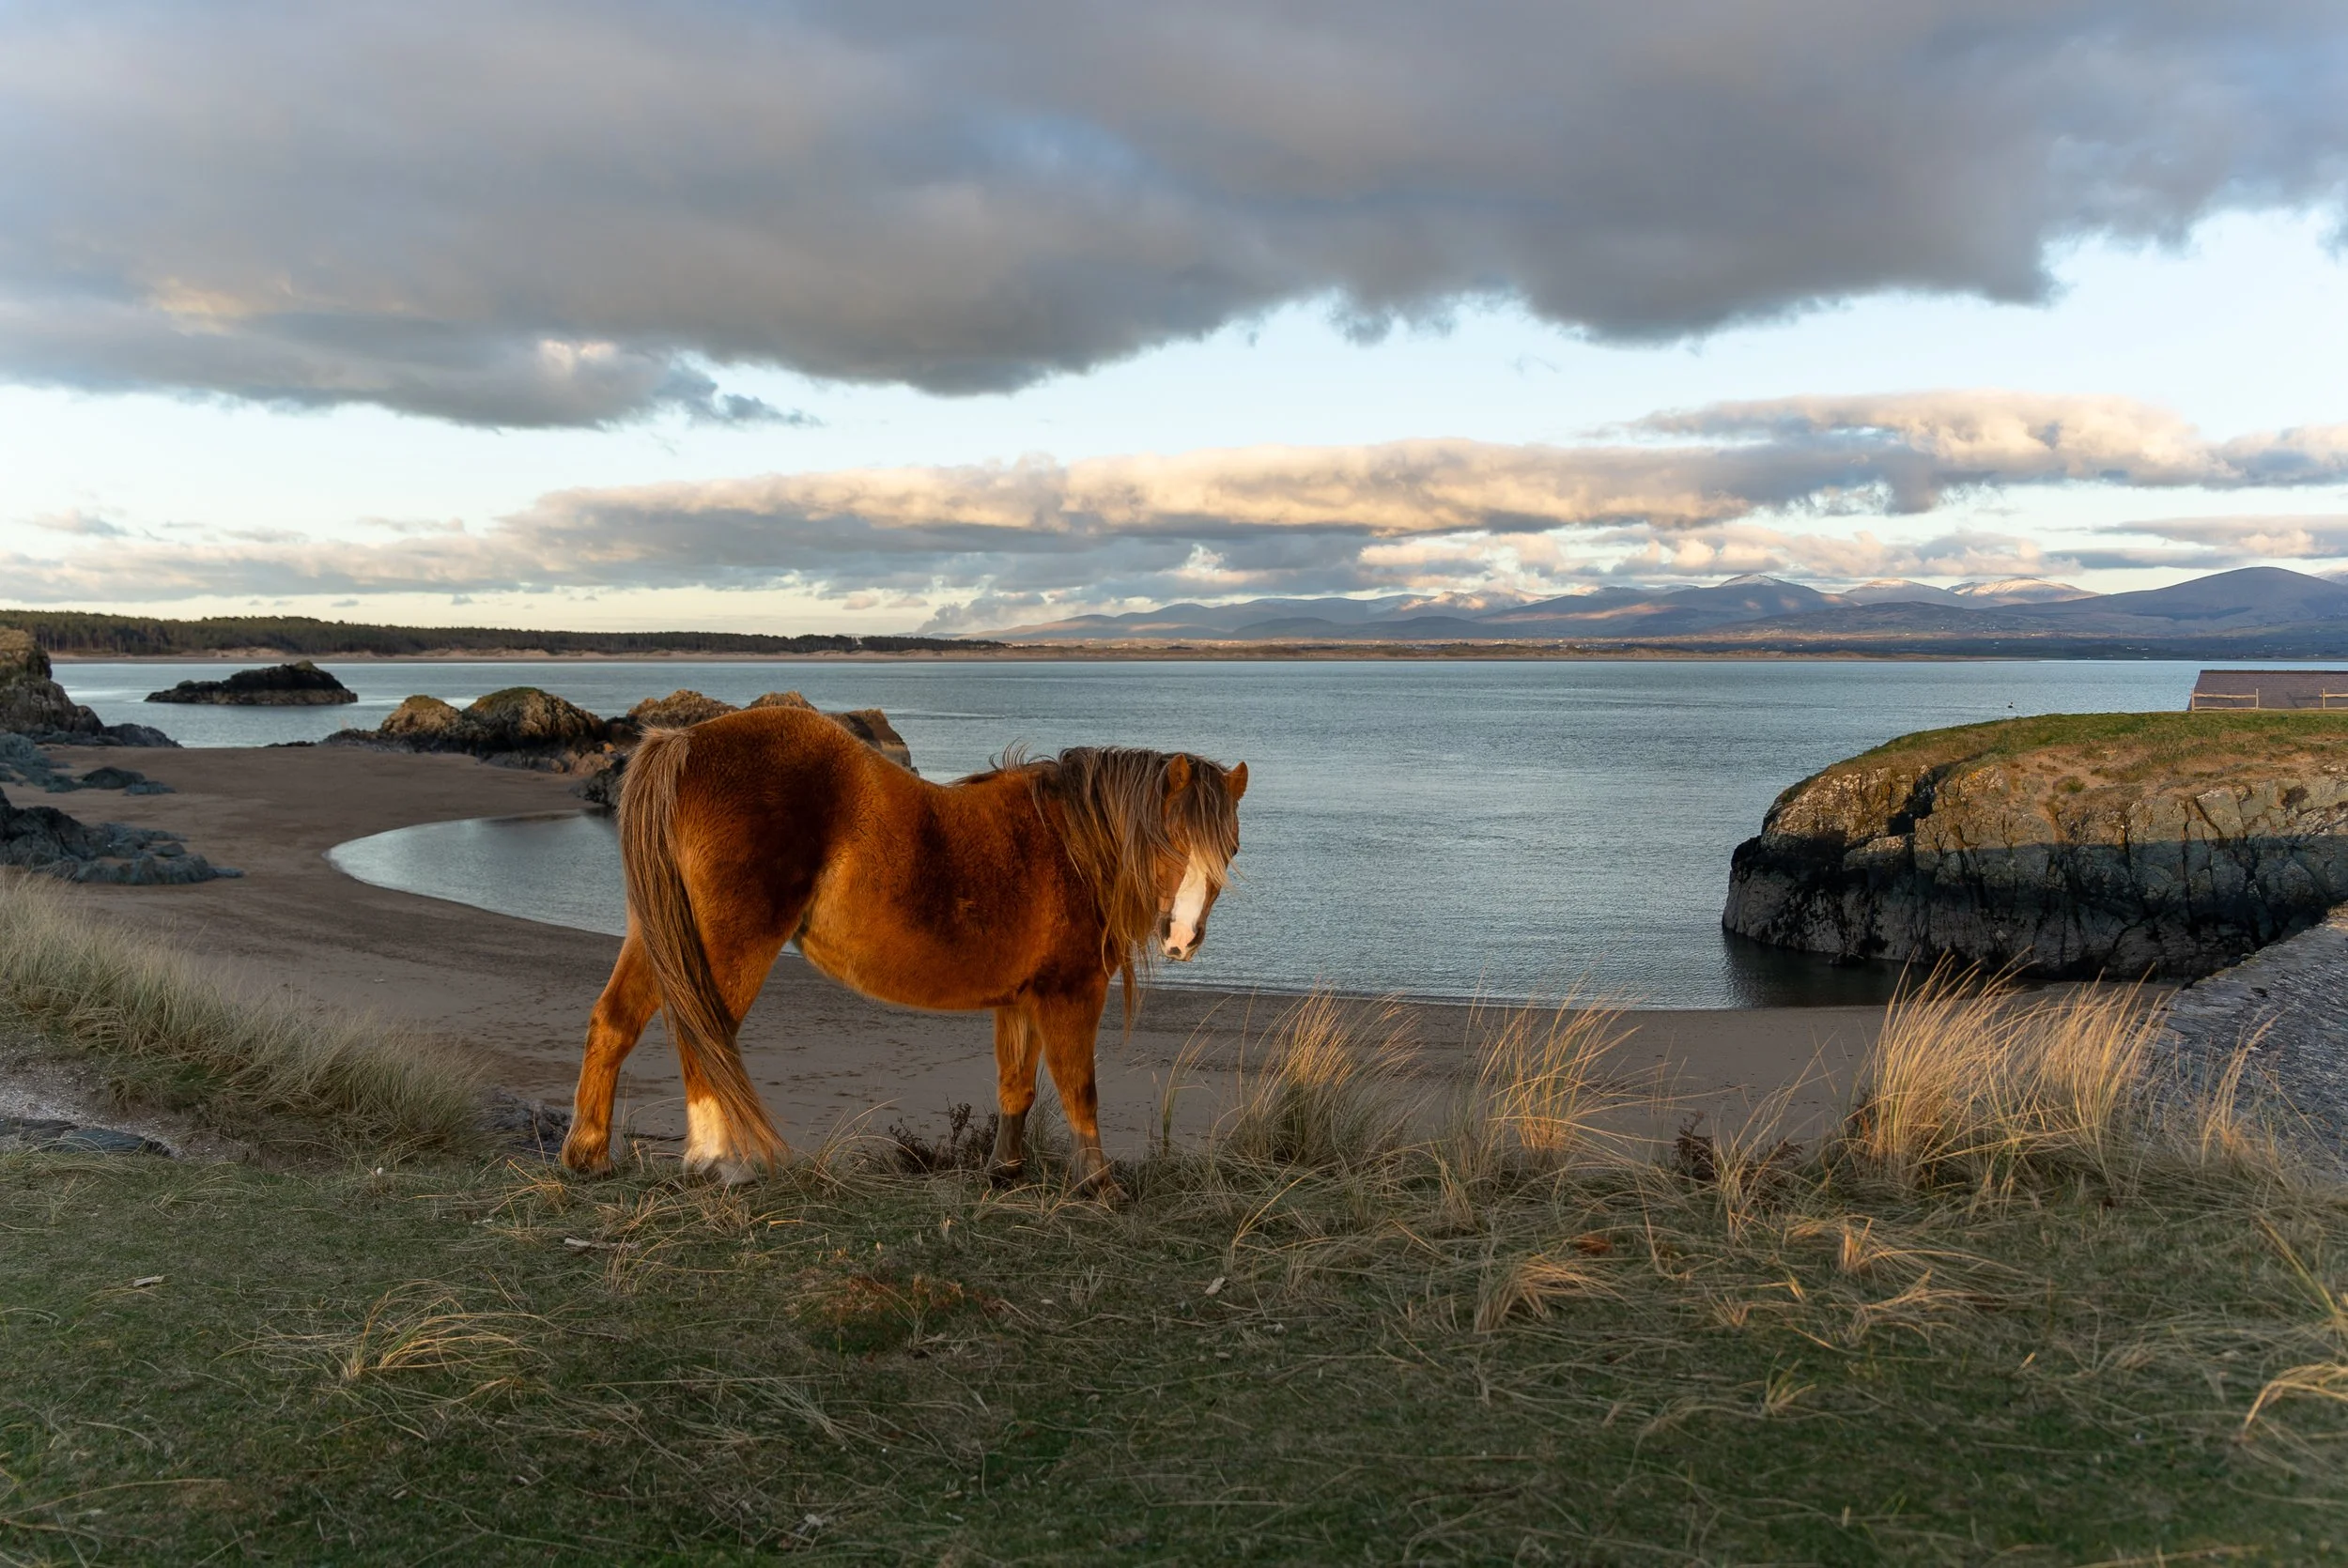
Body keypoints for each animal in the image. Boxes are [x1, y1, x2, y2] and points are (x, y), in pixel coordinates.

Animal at [558, 703, 1249, 1191]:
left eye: (1232, 848)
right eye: (1168, 842)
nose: (1183, 939)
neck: (1070, 847)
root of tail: (685, 742)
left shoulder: (1020, 999)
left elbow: (1016, 1088)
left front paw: (1005, 1174)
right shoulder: (1072, 993)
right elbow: (1081, 1092)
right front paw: (1099, 1187)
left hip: (658, 934)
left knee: (615, 1022)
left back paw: (589, 1155)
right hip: (728, 945)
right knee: (703, 1039)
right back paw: (719, 1162)